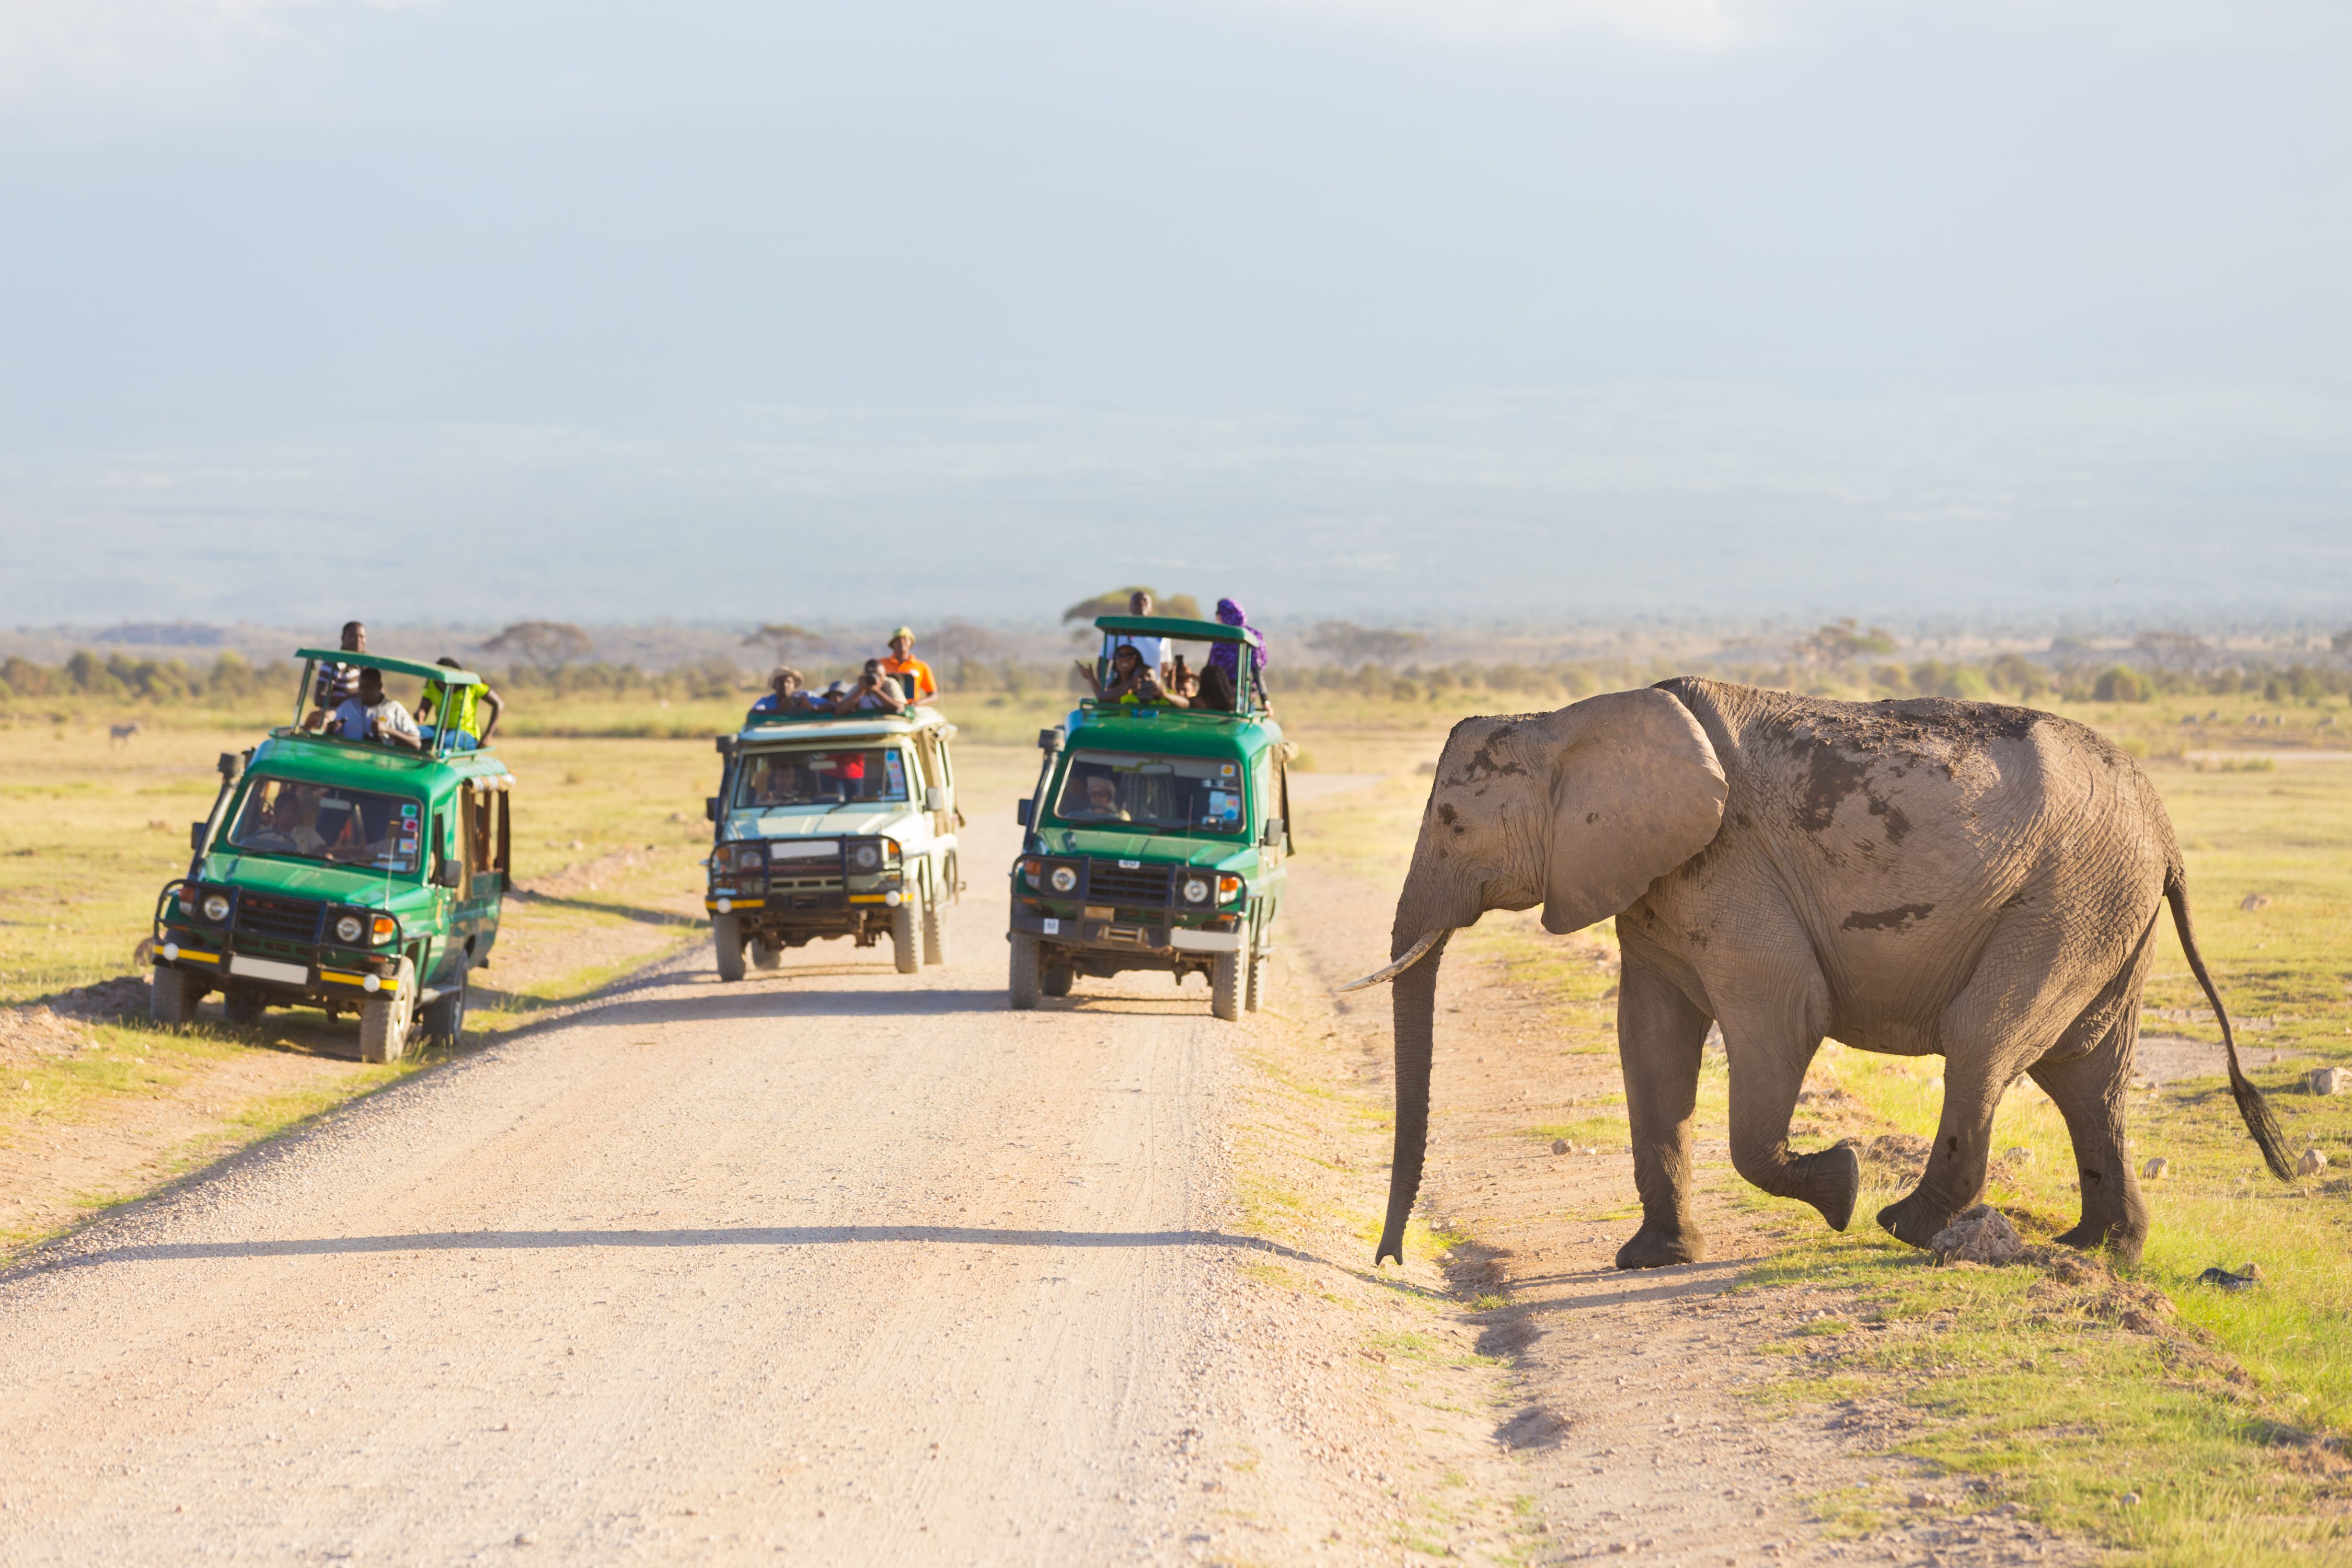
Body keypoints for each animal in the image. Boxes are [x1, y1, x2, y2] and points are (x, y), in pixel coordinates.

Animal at [1355, 682, 2286, 1269]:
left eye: (1452, 820)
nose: (1390, 1260)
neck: (1570, 719)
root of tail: (2163, 827)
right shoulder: (1653, 883)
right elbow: (1650, 1040)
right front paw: (1651, 1260)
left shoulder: (1732, 871)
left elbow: (1784, 1019)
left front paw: (1840, 1186)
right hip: (2106, 909)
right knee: (2087, 1076)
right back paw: (2097, 1252)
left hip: (2068, 900)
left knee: (1985, 1042)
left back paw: (1903, 1224)